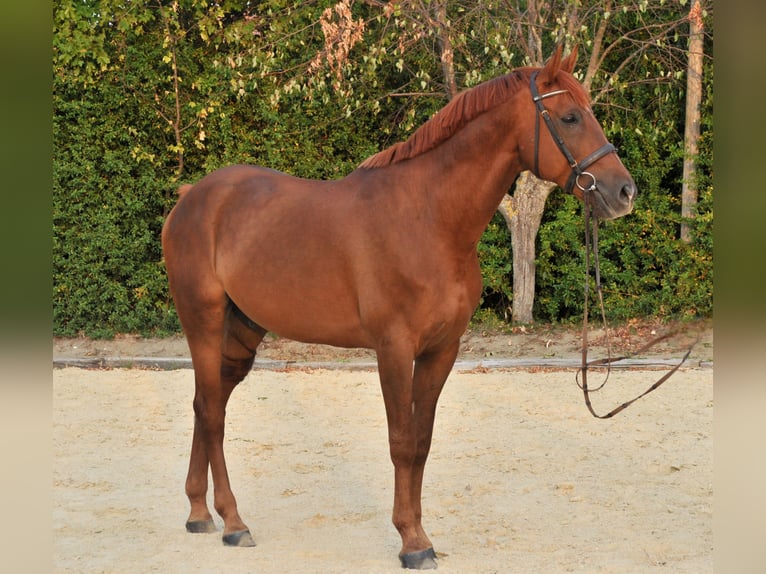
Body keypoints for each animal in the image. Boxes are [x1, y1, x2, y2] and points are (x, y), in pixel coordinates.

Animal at [161, 46, 636, 570]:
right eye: (570, 116)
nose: (623, 192)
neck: (429, 218)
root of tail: (193, 197)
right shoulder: (393, 348)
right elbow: (402, 442)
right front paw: (412, 542)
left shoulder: (441, 350)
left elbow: (422, 442)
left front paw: (422, 532)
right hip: (202, 321)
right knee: (212, 411)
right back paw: (232, 522)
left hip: (243, 329)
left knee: (207, 404)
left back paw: (199, 512)